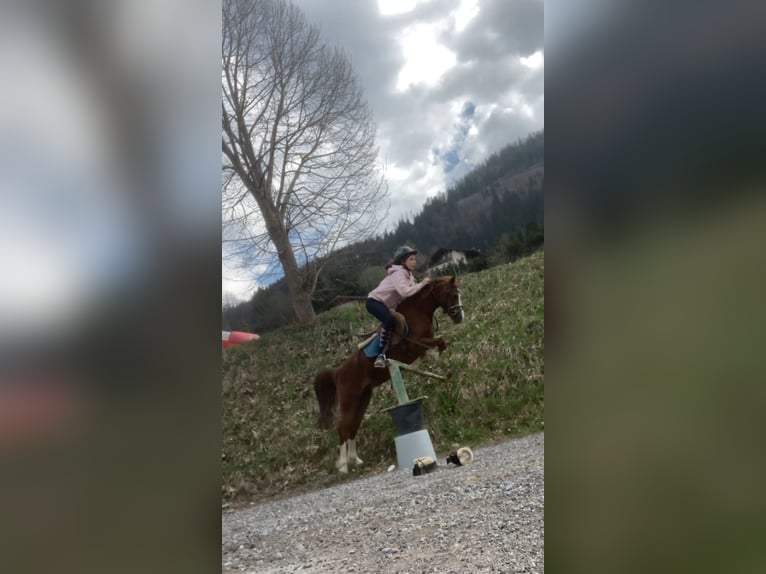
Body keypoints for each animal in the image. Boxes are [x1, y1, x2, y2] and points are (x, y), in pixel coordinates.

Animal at [314, 276, 468, 474]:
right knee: (343, 427)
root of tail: (338, 371)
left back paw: (355, 460)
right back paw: (342, 466)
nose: (459, 317)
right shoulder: (414, 344)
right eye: (454, 294)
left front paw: (433, 357)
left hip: (362, 398)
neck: (418, 311)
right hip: (350, 399)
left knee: (353, 425)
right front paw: (432, 356)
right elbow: (438, 342)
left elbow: (441, 343)